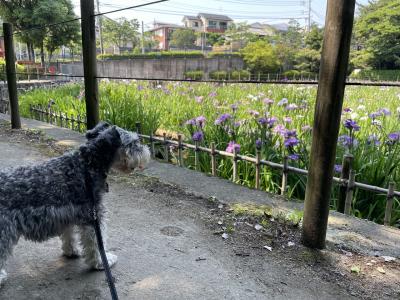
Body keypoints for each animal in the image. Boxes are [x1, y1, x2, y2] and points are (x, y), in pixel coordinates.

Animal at [0, 122, 150, 286]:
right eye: (133, 143)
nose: (147, 151)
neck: (88, 164)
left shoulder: (68, 214)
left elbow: (69, 235)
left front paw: (72, 251)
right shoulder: (93, 217)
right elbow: (97, 244)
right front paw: (101, 262)